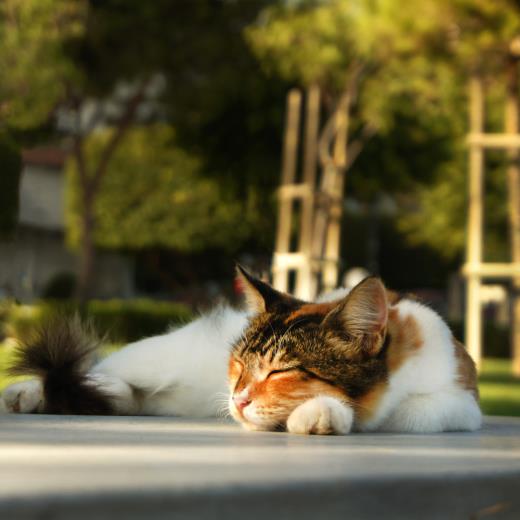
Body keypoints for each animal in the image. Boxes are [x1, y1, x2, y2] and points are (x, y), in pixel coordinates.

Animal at [0, 268, 482, 434]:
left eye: (281, 371)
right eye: (238, 365)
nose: (238, 399)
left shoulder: (461, 401)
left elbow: (412, 412)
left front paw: (319, 412)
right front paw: (324, 413)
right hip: (152, 358)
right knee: (99, 371)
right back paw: (25, 393)